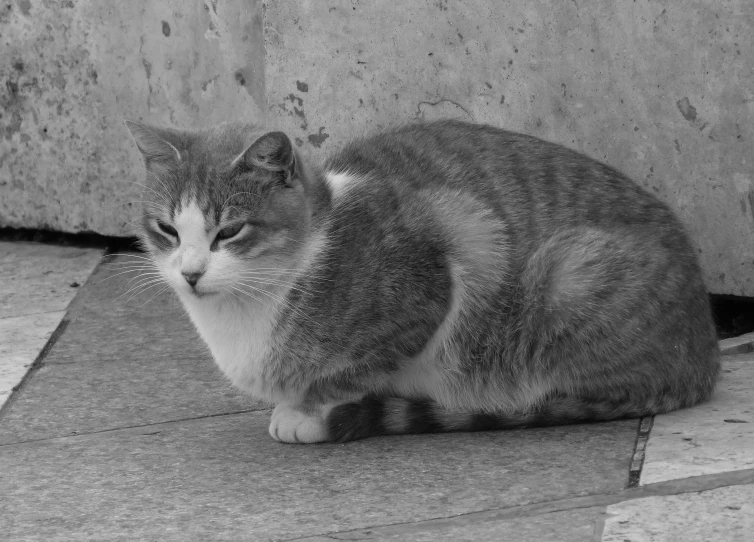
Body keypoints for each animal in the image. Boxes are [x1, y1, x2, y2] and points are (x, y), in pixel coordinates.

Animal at [126, 120, 720, 446]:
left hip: (570, 273)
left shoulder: (442, 266)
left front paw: (309, 413)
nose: (191, 273)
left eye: (229, 231)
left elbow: (351, 373)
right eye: (167, 230)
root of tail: (704, 359)